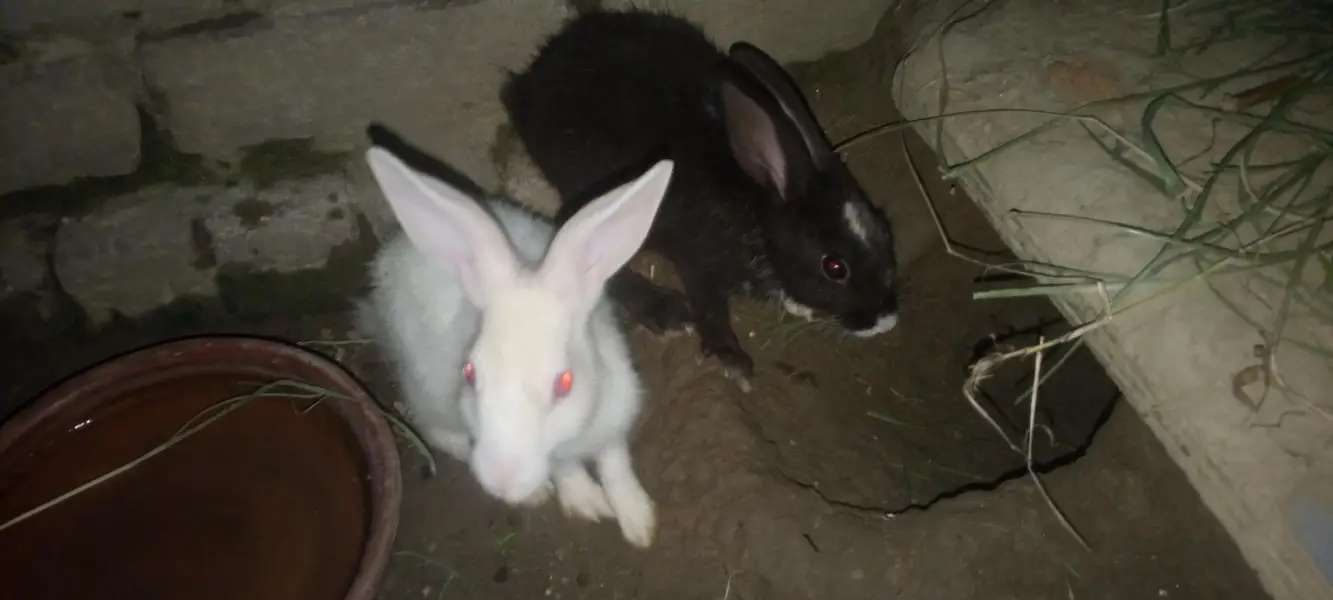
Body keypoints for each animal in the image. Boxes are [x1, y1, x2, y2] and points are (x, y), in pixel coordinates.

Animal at [356, 144, 675, 548]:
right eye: (470, 373)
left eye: (565, 383)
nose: (502, 483)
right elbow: (566, 469)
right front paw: (586, 502)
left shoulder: (615, 414)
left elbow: (616, 465)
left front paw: (639, 521)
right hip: (428, 389)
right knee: (434, 431)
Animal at [501, 9, 901, 391]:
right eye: (834, 267)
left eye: (885, 230)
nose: (886, 321)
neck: (759, 213)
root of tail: (527, 86)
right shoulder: (697, 259)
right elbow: (709, 305)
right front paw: (733, 360)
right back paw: (664, 311)